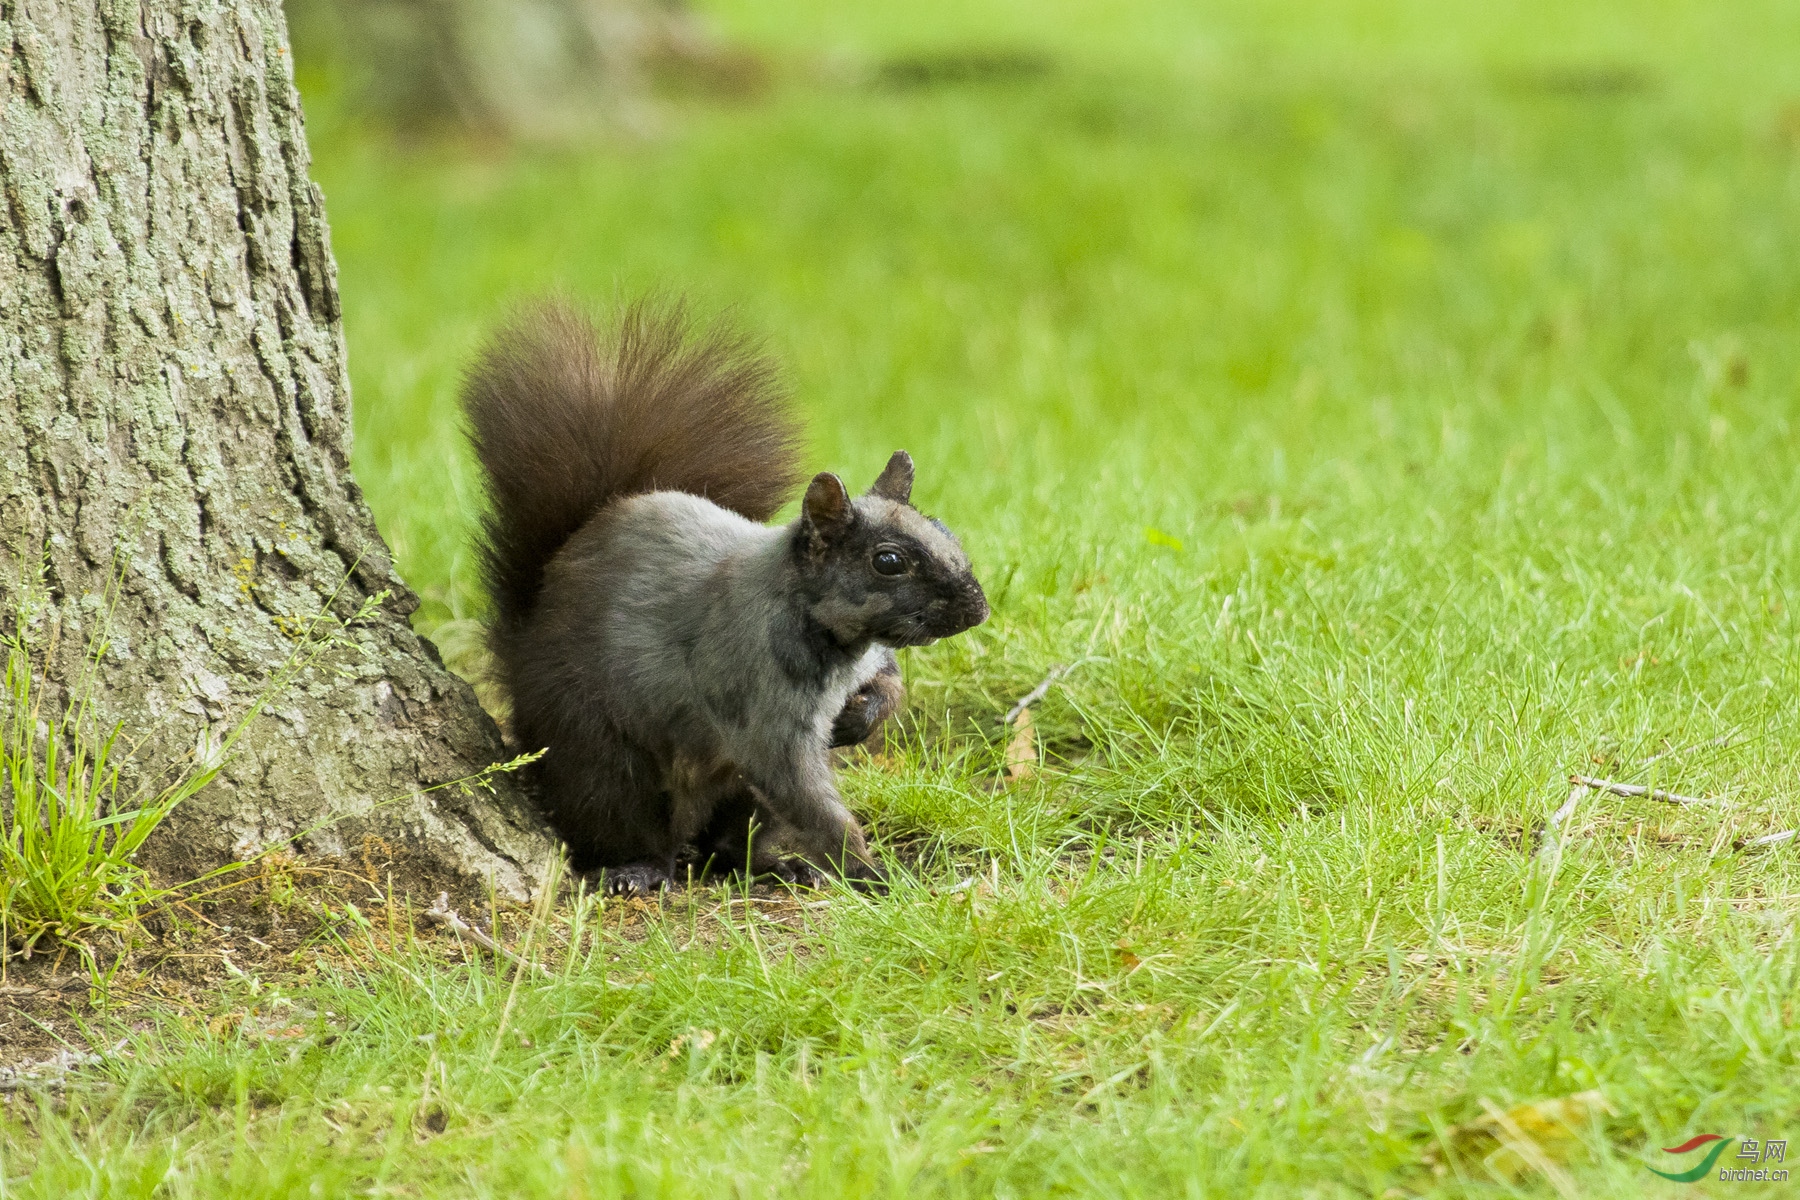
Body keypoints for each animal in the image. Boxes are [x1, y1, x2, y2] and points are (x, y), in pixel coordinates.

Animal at [464, 300, 993, 892]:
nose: (979, 609)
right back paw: (638, 869)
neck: (833, 635)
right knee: (623, 818)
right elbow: (804, 794)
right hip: (597, 751)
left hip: (737, 801)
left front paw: (859, 720)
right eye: (889, 562)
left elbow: (890, 683)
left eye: (942, 527)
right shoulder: (762, 702)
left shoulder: (871, 659)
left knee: (725, 847)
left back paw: (773, 865)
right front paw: (868, 870)